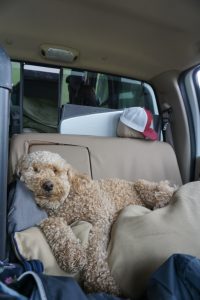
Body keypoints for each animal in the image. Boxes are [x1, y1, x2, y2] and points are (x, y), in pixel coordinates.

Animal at [16, 151, 177, 294]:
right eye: (35, 169)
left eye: (55, 170)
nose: (48, 185)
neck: (67, 202)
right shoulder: (51, 219)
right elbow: (56, 227)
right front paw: (72, 254)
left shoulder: (100, 219)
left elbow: (95, 248)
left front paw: (98, 280)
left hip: (141, 184)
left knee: (164, 191)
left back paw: (162, 199)